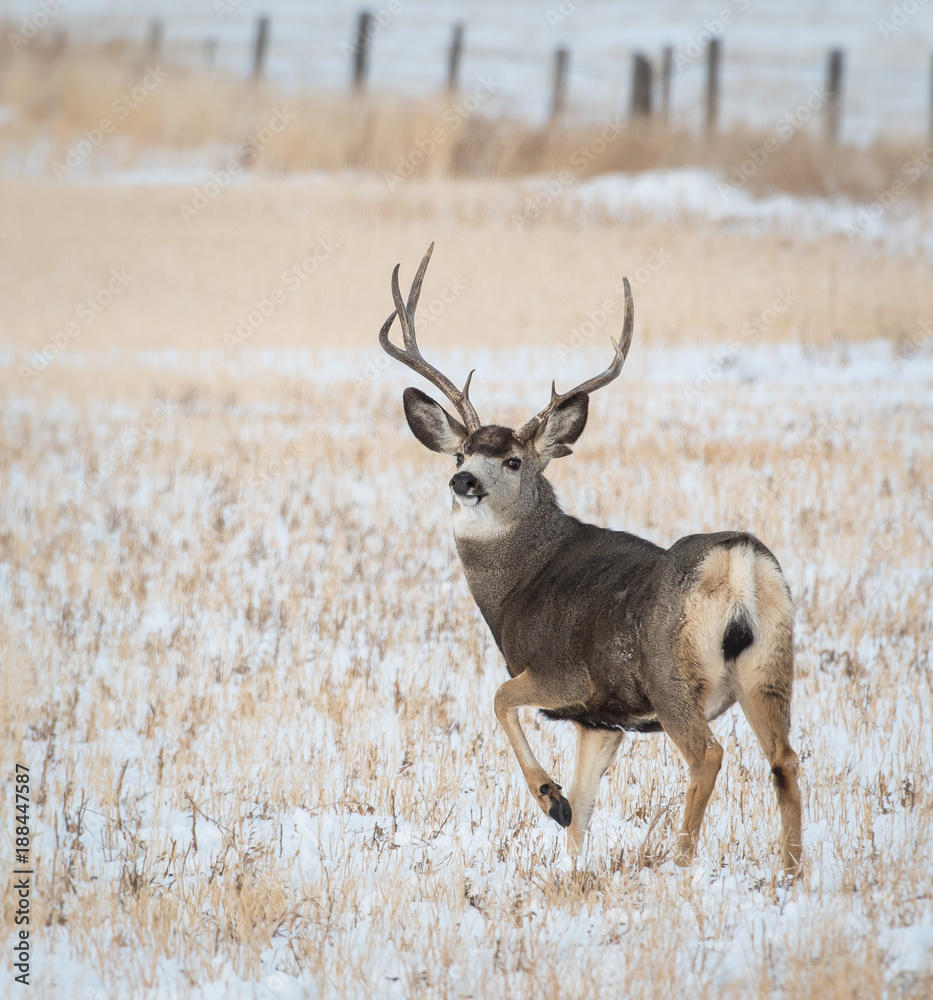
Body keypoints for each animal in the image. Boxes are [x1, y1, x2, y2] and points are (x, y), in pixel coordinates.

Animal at [378, 244, 803, 876]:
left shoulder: (563, 674)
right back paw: (793, 871)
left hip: (669, 673)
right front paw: (570, 857)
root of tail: (737, 562)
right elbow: (583, 806)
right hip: (769, 666)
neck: (515, 587)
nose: (463, 481)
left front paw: (546, 796)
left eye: (513, 461)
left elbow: (498, 698)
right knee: (785, 759)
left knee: (707, 754)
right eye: (460, 453)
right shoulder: (602, 718)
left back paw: (679, 861)